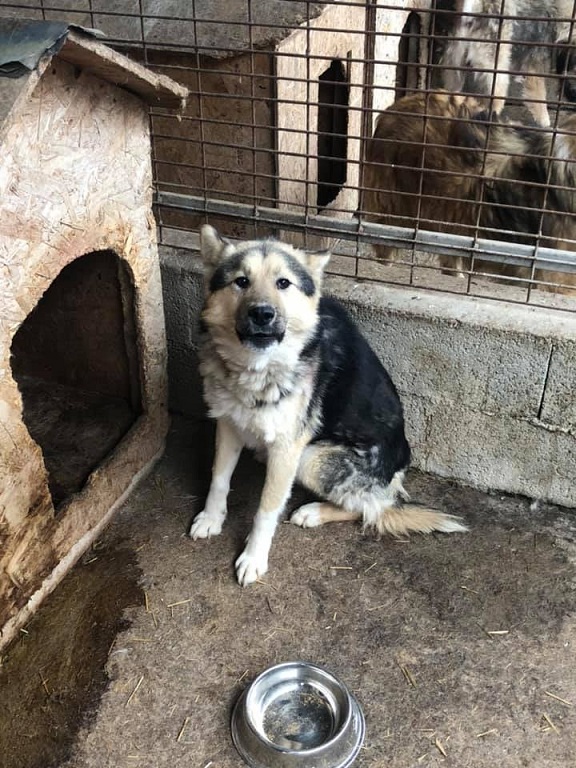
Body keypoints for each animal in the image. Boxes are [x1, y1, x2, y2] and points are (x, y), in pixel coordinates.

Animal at [189, 225, 468, 584]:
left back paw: (314, 512)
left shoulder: (288, 448)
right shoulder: (229, 423)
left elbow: (266, 509)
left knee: (370, 508)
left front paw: (253, 557)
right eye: (241, 281)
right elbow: (218, 479)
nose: (262, 314)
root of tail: (397, 472)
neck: (258, 367)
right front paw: (211, 518)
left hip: (311, 458)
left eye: (283, 283)